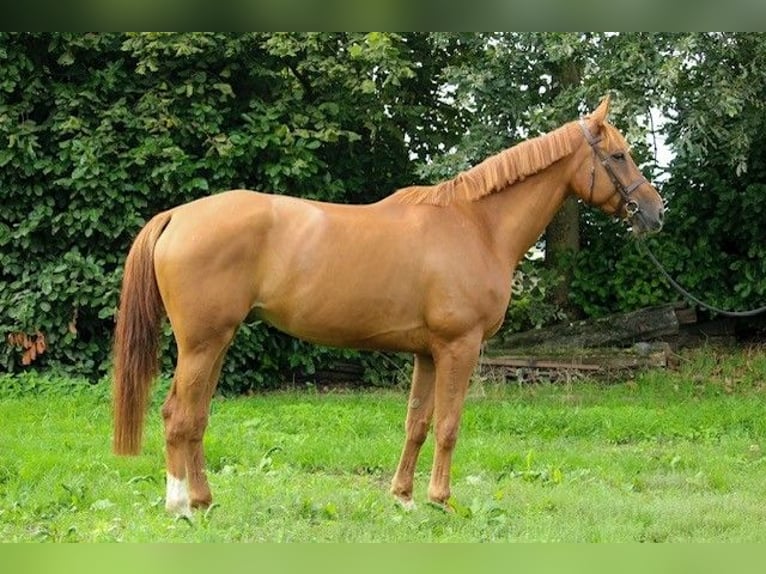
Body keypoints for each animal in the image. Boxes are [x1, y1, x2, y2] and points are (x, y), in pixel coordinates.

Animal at [112, 96, 664, 517]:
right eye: (618, 155)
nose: (656, 213)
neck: (476, 226)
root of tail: (178, 215)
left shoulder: (427, 353)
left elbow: (417, 423)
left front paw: (403, 497)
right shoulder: (459, 348)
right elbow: (448, 425)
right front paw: (442, 500)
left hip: (215, 343)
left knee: (195, 417)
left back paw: (202, 500)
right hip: (203, 343)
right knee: (179, 416)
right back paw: (180, 506)